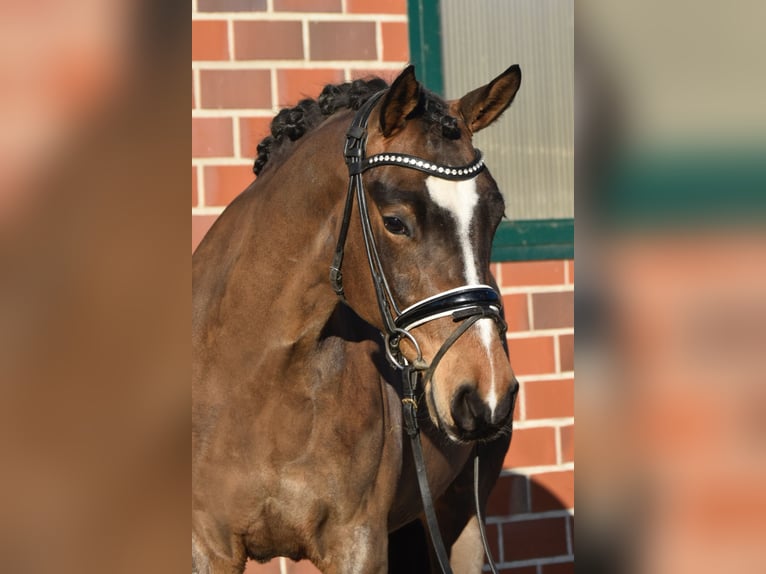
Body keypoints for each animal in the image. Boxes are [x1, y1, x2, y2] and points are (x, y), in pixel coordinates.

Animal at [195, 64, 524, 574]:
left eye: (496, 217)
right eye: (395, 222)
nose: (486, 394)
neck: (254, 378)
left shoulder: (359, 541)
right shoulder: (206, 546)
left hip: (462, 512)